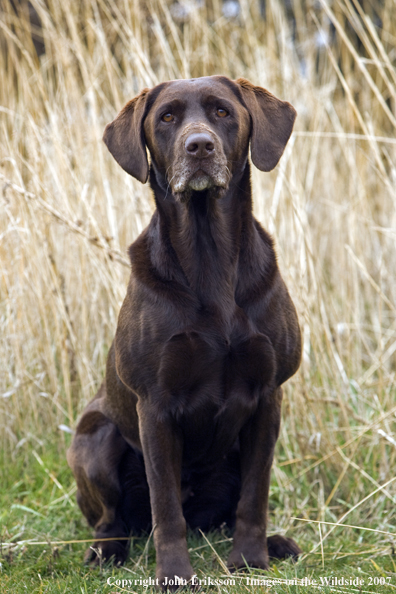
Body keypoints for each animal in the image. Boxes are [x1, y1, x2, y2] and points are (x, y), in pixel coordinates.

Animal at [68, 75, 302, 588]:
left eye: (223, 112)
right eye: (167, 117)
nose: (199, 146)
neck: (209, 255)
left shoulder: (268, 397)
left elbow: (255, 495)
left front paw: (250, 559)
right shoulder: (154, 406)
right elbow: (166, 509)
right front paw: (174, 575)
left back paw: (276, 543)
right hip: (97, 435)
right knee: (114, 518)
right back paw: (105, 550)